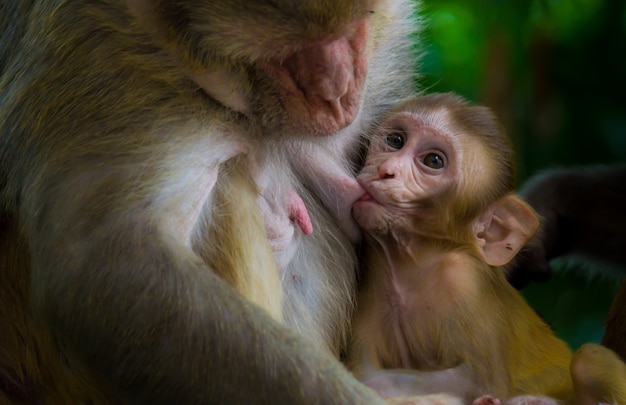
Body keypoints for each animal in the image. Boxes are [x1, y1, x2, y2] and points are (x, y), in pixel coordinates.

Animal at [346, 92, 604, 404]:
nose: (386, 170)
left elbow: (478, 380)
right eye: (396, 140)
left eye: (433, 160)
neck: (410, 266)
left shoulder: (463, 280)